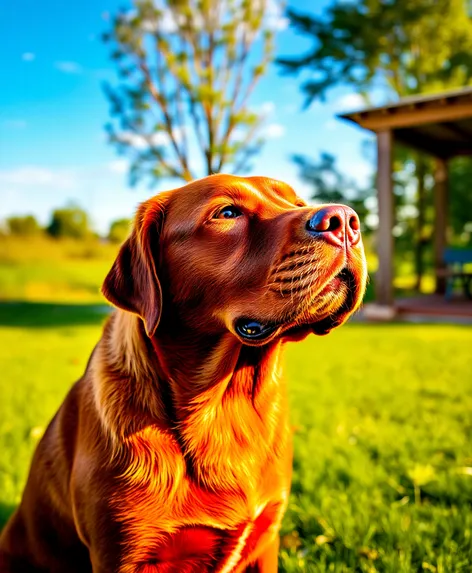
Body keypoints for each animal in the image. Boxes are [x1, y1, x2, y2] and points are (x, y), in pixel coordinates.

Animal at [0, 175, 366, 572]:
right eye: (227, 212)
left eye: (297, 202)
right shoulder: (124, 554)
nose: (345, 219)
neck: (224, 409)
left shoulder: (266, 538)